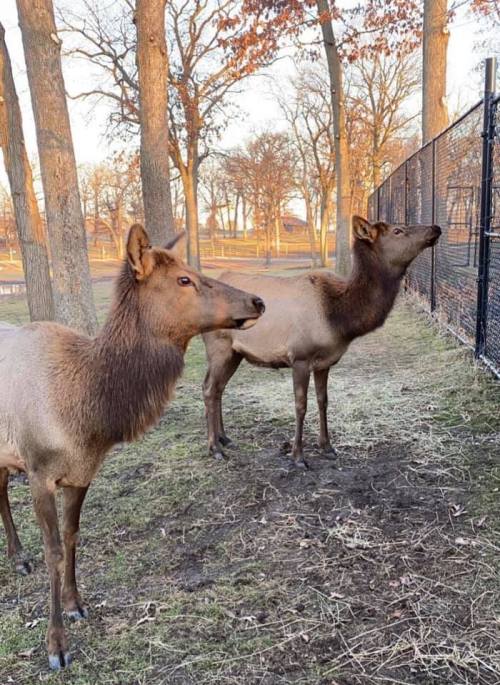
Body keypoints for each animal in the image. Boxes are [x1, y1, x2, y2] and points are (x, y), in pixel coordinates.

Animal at [0, 223, 264, 670]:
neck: (88, 416)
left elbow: (72, 536)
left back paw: (17, 556)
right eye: (184, 279)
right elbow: (53, 550)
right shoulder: (38, 469)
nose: (257, 300)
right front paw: (57, 645)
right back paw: (20, 558)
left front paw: (76, 604)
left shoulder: (83, 470)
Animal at [203, 215, 441, 467]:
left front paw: (327, 446)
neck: (339, 320)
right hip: (219, 347)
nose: (435, 227)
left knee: (219, 388)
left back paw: (225, 437)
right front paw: (298, 455)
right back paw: (214, 447)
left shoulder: (325, 362)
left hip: (234, 353)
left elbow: (323, 400)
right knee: (209, 388)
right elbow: (301, 405)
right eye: (397, 230)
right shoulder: (299, 357)